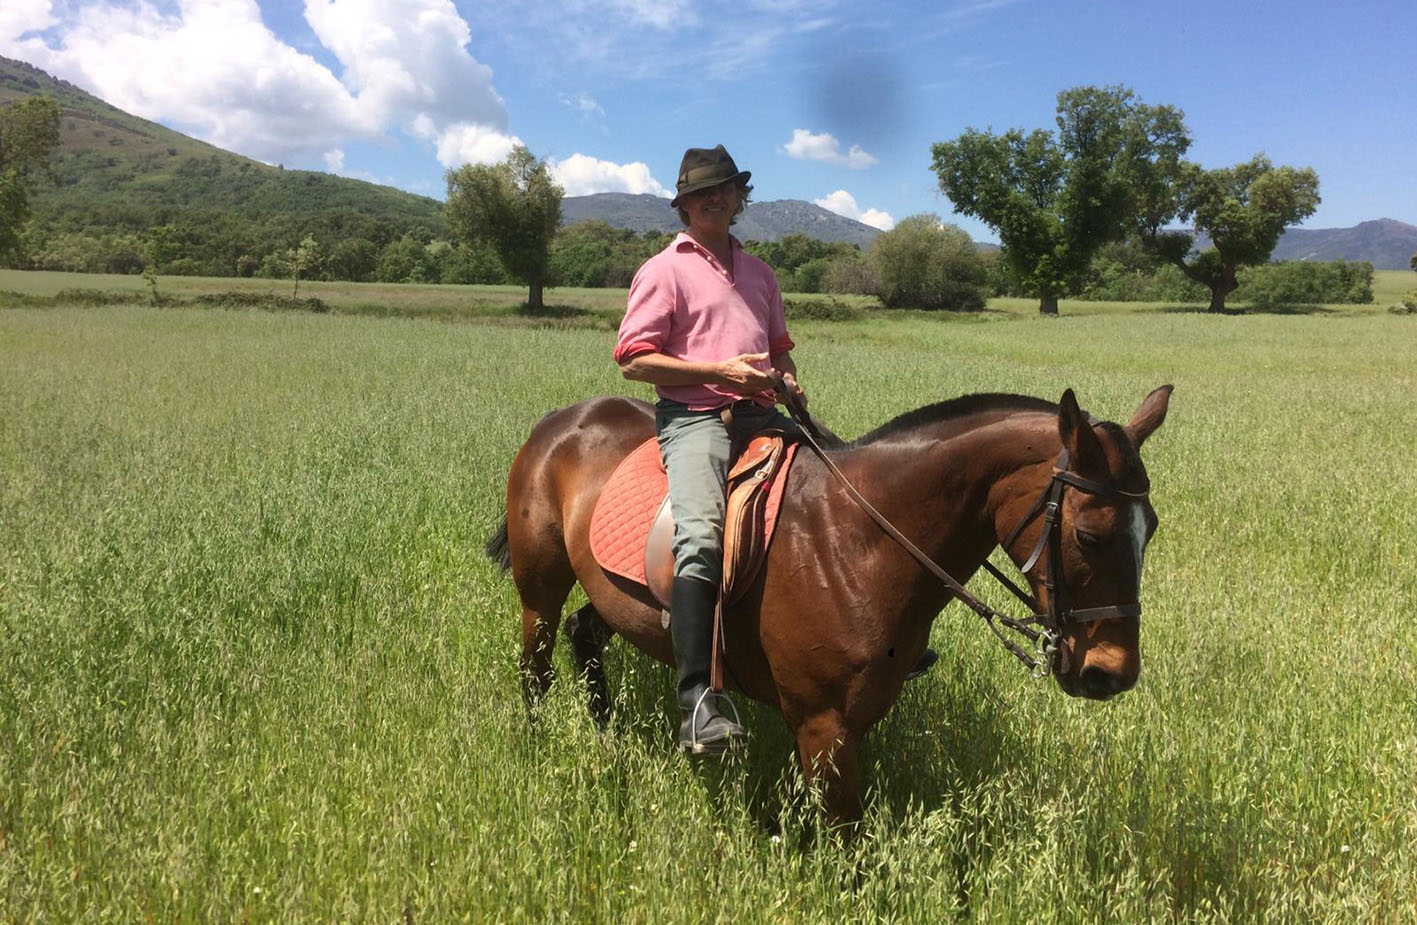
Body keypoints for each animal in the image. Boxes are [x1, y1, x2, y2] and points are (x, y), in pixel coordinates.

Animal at [487, 382, 1173, 821]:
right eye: (1090, 535)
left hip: (617, 596)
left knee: (585, 634)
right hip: (540, 588)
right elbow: (846, 833)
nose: (1111, 674)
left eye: (1153, 528)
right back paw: (540, 741)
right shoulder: (824, 726)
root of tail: (561, 420)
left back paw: (607, 740)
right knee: (537, 663)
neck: (856, 541)